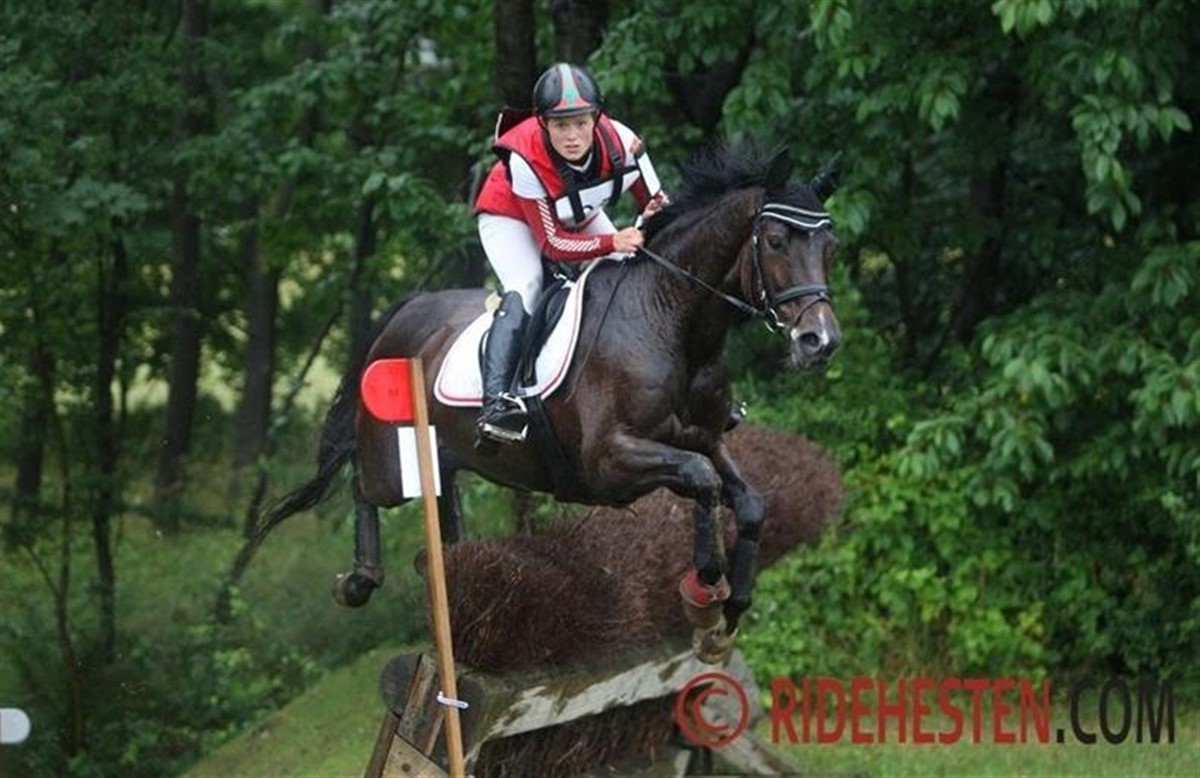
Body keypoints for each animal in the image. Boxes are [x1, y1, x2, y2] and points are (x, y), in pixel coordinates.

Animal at [257, 145, 841, 663]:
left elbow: (747, 501)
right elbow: (701, 480)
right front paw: (702, 596)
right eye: (775, 240)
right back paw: (358, 581)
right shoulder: (608, 463)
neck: (671, 322)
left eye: (829, 245)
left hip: (443, 456)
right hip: (391, 455)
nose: (820, 341)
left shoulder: (706, 439)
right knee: (363, 483)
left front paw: (727, 617)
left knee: (442, 510)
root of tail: (407, 311)